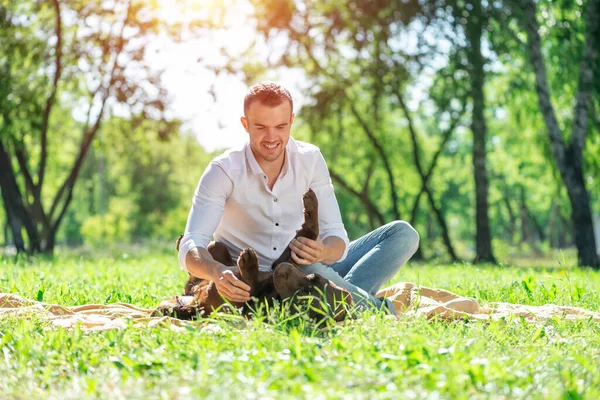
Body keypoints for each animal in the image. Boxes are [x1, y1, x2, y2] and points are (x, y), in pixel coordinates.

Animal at [150, 190, 354, 322]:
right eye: (313, 276)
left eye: (304, 295)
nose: (282, 270)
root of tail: (189, 299)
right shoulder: (288, 257)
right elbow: (310, 232)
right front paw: (311, 203)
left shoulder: (238, 305)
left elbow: (247, 288)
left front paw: (248, 265)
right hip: (217, 253)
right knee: (209, 250)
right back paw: (182, 241)